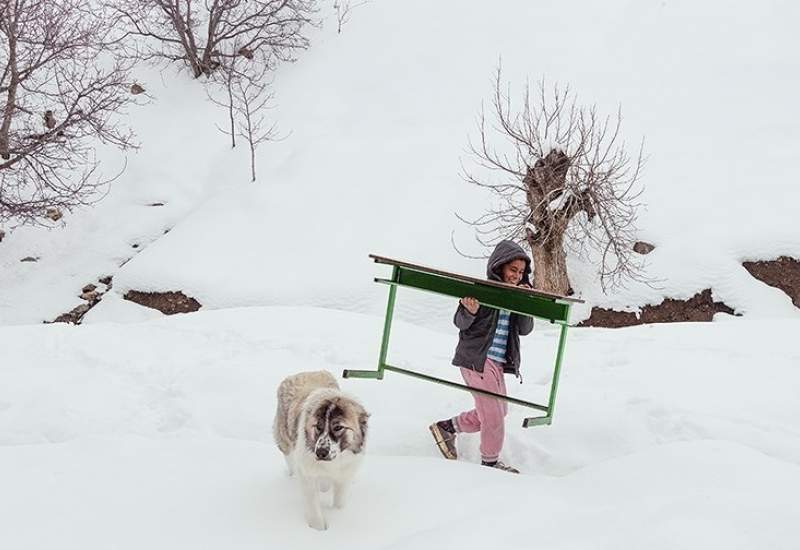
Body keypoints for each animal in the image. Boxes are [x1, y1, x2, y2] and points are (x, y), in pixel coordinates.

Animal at [272, 374, 366, 532]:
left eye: (338, 427)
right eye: (318, 426)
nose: (321, 452)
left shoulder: (345, 474)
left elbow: (339, 501)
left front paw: (340, 515)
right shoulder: (307, 474)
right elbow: (313, 504)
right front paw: (319, 530)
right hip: (285, 440)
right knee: (290, 460)